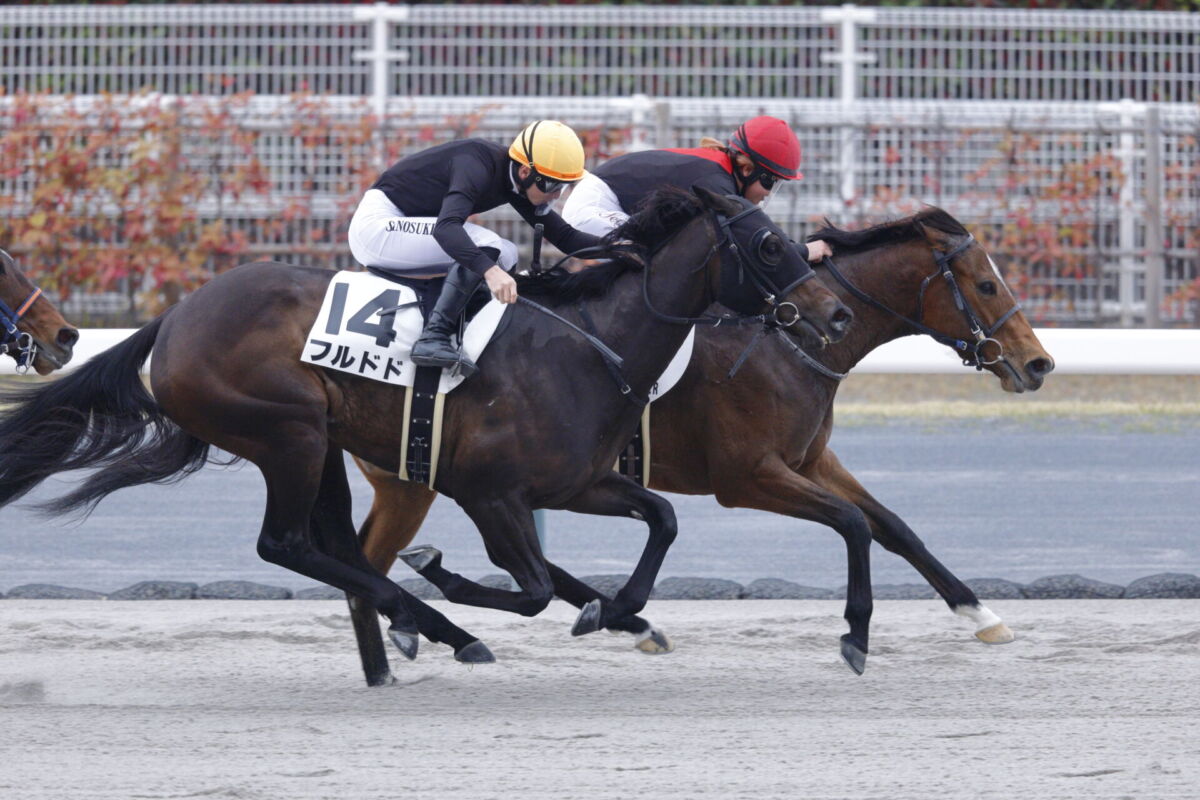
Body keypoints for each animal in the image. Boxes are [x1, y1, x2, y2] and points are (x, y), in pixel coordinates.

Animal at [0, 187, 852, 675]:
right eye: (769, 244)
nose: (836, 313)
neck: (592, 344)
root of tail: (175, 318)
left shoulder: (577, 481)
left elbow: (663, 519)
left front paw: (617, 609)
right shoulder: (489, 493)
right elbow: (530, 588)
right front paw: (448, 580)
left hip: (321, 443)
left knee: (336, 547)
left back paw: (413, 635)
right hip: (288, 432)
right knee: (287, 545)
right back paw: (427, 620)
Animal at [342, 206, 1055, 683]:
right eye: (987, 285)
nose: (1038, 363)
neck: (788, 340)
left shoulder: (810, 459)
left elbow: (895, 527)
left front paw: (980, 613)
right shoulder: (748, 477)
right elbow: (854, 523)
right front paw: (855, 635)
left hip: (417, 480)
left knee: (367, 562)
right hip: (423, 479)